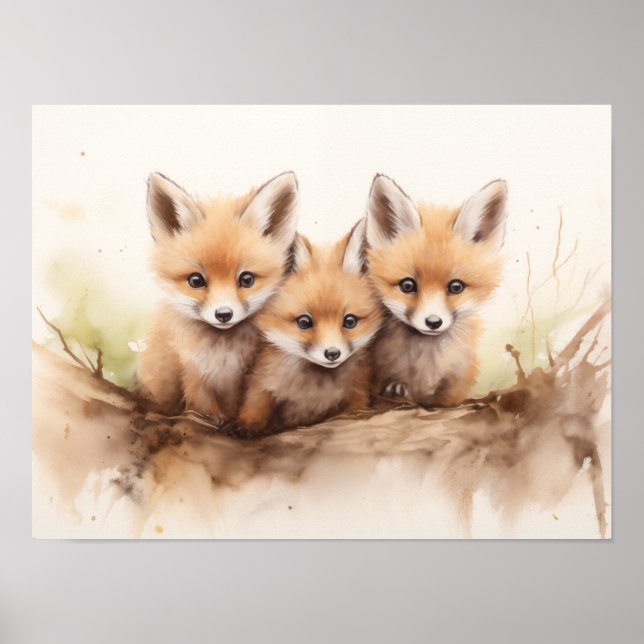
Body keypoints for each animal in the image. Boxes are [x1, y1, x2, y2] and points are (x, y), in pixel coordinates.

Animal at [138, 171, 299, 418]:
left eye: (247, 279)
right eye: (196, 281)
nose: (223, 314)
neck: (223, 354)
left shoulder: (246, 375)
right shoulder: (193, 369)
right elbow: (202, 406)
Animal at [236, 220, 382, 433]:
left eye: (350, 321)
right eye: (304, 322)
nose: (332, 353)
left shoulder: (358, 395)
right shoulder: (261, 382)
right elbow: (255, 402)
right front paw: (248, 424)